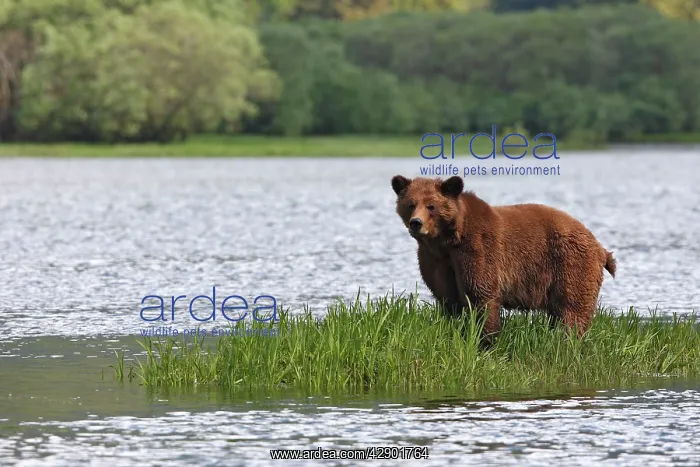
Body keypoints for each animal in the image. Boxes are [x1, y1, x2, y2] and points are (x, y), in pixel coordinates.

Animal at [391, 174, 616, 341]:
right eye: (411, 204)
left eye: (431, 206)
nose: (416, 223)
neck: (447, 240)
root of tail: (599, 246)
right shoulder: (435, 261)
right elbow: (448, 298)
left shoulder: (477, 249)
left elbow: (481, 294)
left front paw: (486, 340)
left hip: (571, 263)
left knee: (572, 310)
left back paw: (567, 341)